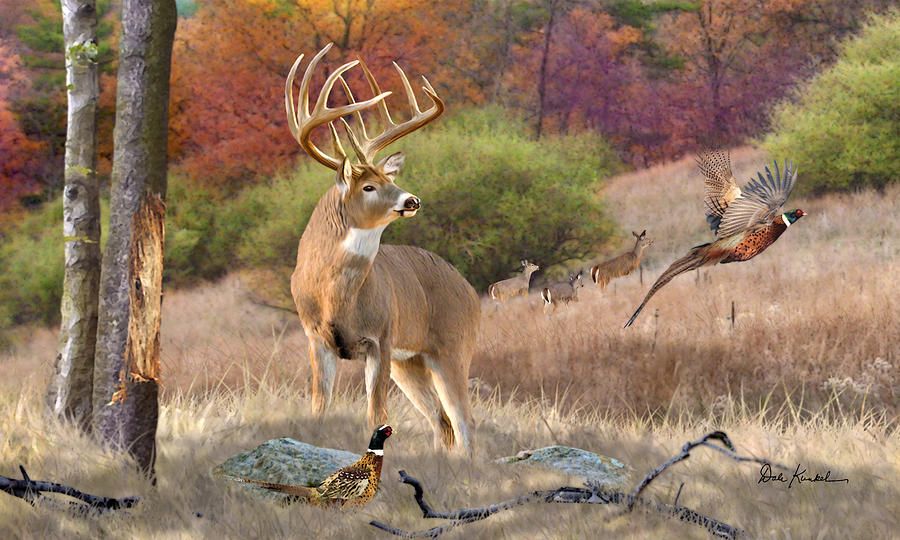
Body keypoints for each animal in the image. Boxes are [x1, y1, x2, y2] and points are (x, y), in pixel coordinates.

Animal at [284, 44, 480, 454]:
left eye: (390, 179)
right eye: (369, 187)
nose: (412, 200)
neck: (335, 296)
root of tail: (471, 292)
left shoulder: (382, 338)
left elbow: (377, 414)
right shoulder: (316, 338)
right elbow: (319, 409)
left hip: (453, 347)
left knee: (464, 421)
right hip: (412, 363)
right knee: (443, 421)